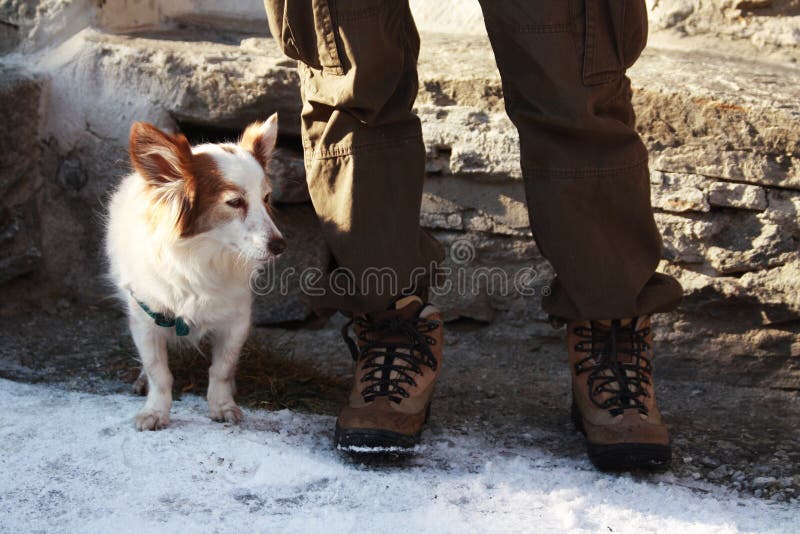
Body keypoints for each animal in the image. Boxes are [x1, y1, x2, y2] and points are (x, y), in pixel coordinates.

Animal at [104, 115, 282, 434]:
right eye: (235, 202)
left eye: (266, 198)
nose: (280, 245)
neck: (203, 258)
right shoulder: (145, 319)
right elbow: (158, 371)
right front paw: (155, 410)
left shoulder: (236, 320)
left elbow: (222, 368)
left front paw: (222, 405)